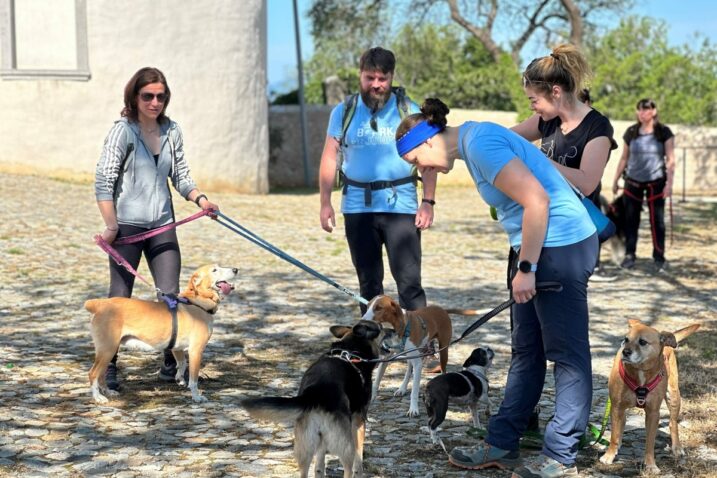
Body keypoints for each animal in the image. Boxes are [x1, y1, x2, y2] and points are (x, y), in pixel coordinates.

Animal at [85, 266, 238, 404]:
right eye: (214, 270)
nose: (236, 270)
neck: (196, 301)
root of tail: (99, 304)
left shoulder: (177, 348)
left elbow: (182, 363)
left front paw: (179, 378)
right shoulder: (196, 350)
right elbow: (193, 380)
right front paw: (196, 397)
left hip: (108, 351)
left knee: (101, 375)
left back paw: (108, 391)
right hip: (108, 349)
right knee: (93, 373)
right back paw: (98, 397)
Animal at [241, 322, 386, 478]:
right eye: (381, 327)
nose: (392, 330)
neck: (351, 350)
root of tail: (315, 393)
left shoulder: (321, 438)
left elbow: (319, 465)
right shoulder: (359, 422)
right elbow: (359, 459)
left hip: (305, 446)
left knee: (305, 471)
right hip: (345, 446)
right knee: (348, 468)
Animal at [600, 320, 700, 472]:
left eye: (643, 342)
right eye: (626, 339)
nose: (625, 352)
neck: (640, 372)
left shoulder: (653, 413)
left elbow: (650, 443)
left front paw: (651, 465)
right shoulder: (616, 407)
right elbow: (614, 436)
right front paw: (609, 455)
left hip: (673, 396)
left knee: (673, 423)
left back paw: (677, 447)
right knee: (622, 423)